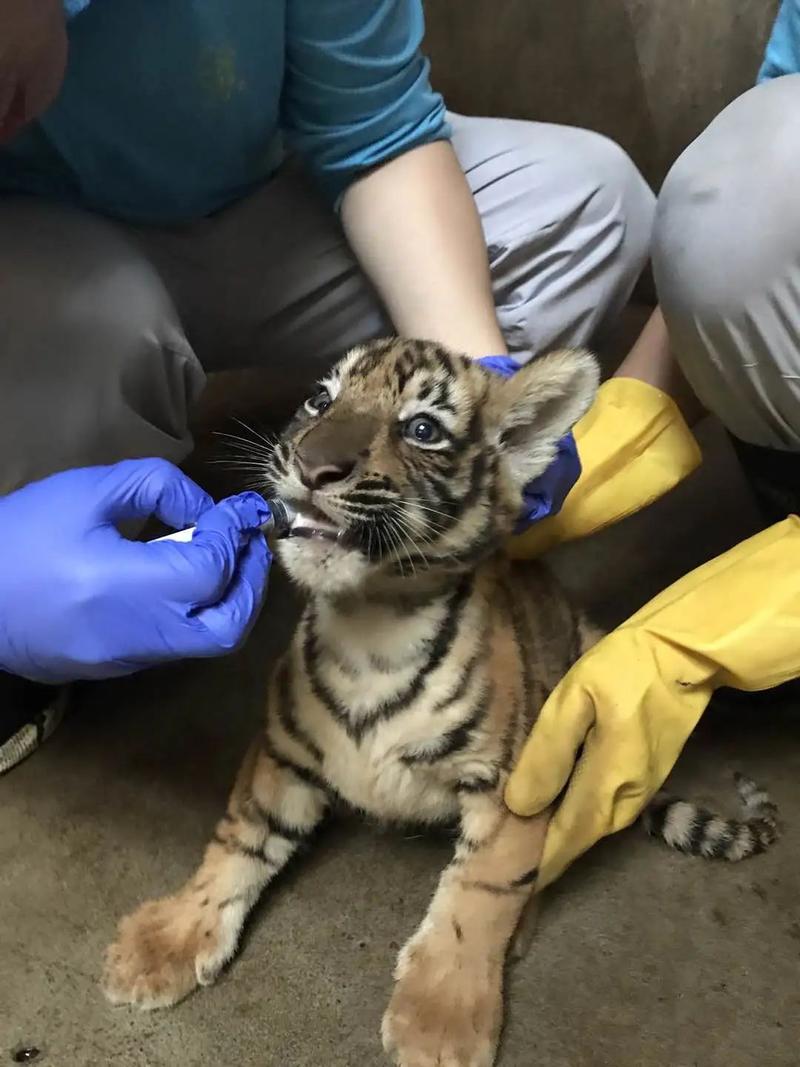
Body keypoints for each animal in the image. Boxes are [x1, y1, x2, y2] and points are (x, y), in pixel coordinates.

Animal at [103, 339, 779, 1067]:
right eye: (319, 398)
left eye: (422, 428)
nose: (312, 465)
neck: (371, 624)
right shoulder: (282, 752)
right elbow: (237, 844)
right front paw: (165, 942)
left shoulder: (512, 788)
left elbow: (479, 894)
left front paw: (439, 1022)